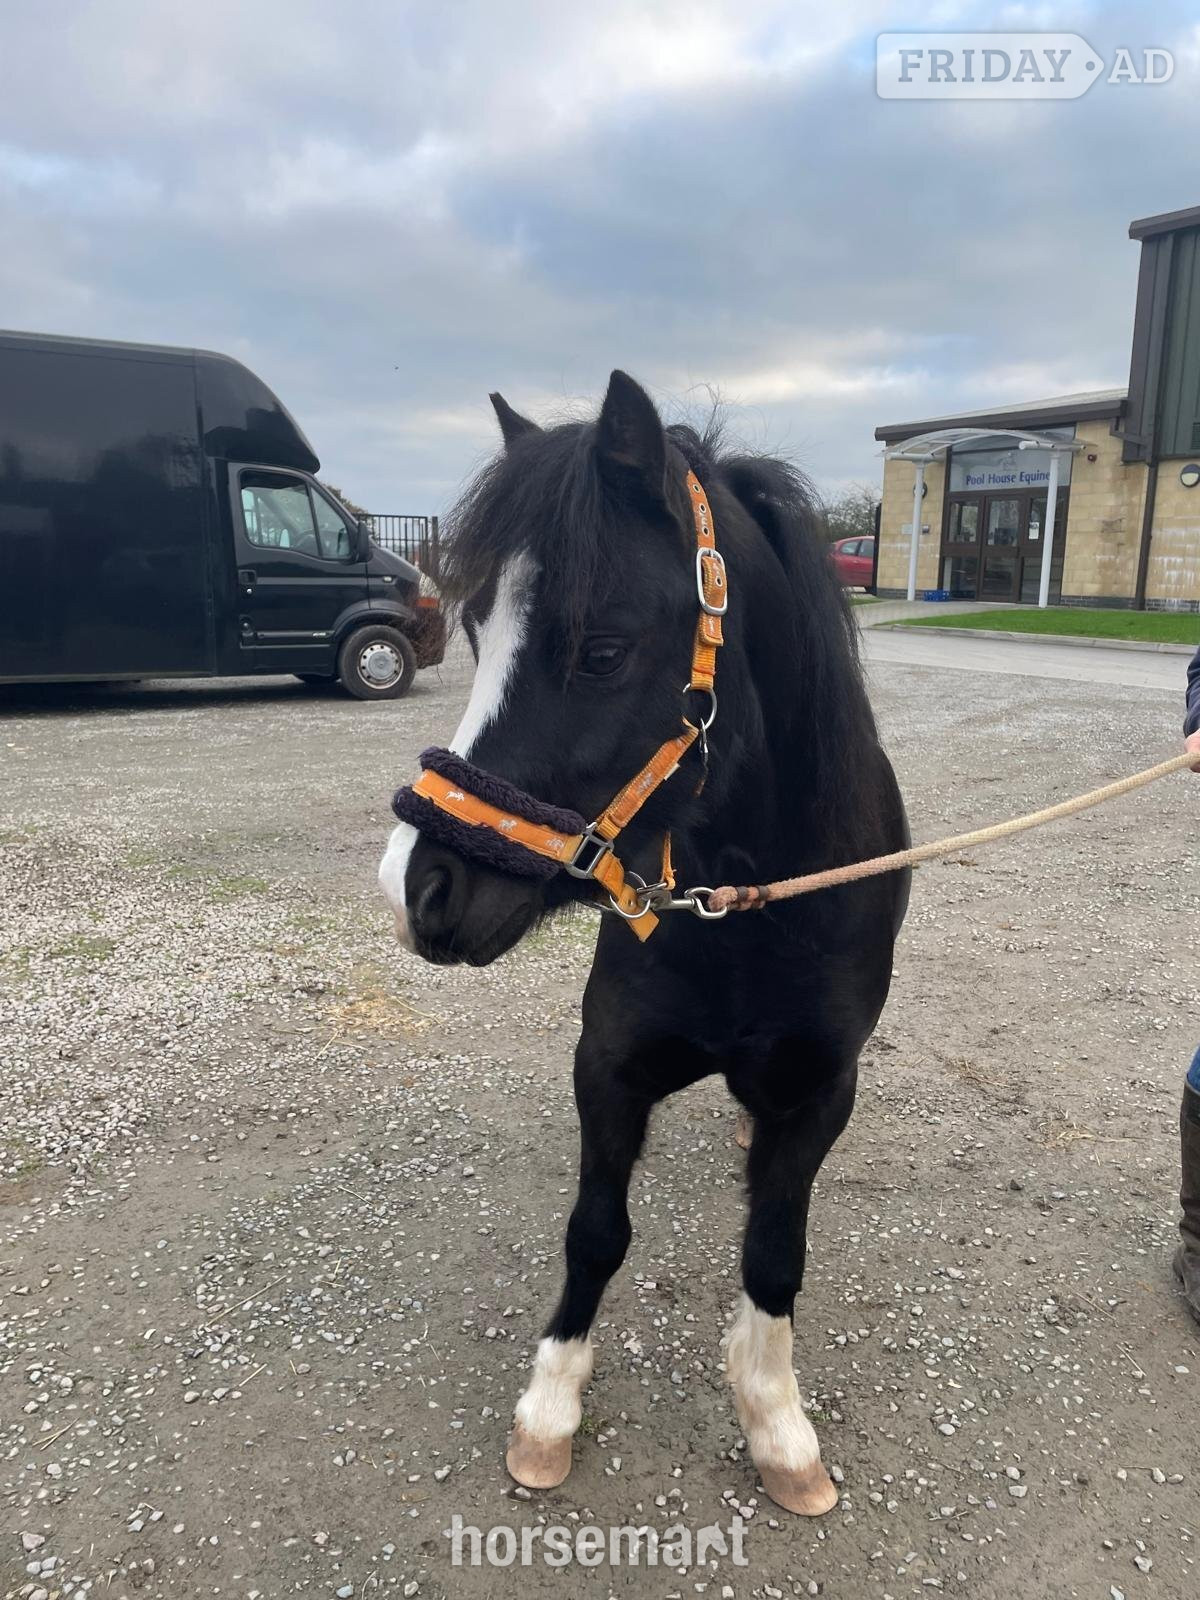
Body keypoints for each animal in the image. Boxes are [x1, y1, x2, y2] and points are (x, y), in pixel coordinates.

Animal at [379, 371, 910, 1516]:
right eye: (477, 632)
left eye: (603, 650)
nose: (420, 888)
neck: (749, 907)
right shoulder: (609, 1067)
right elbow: (595, 1232)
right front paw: (548, 1412)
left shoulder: (821, 1091)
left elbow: (775, 1253)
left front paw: (778, 1425)